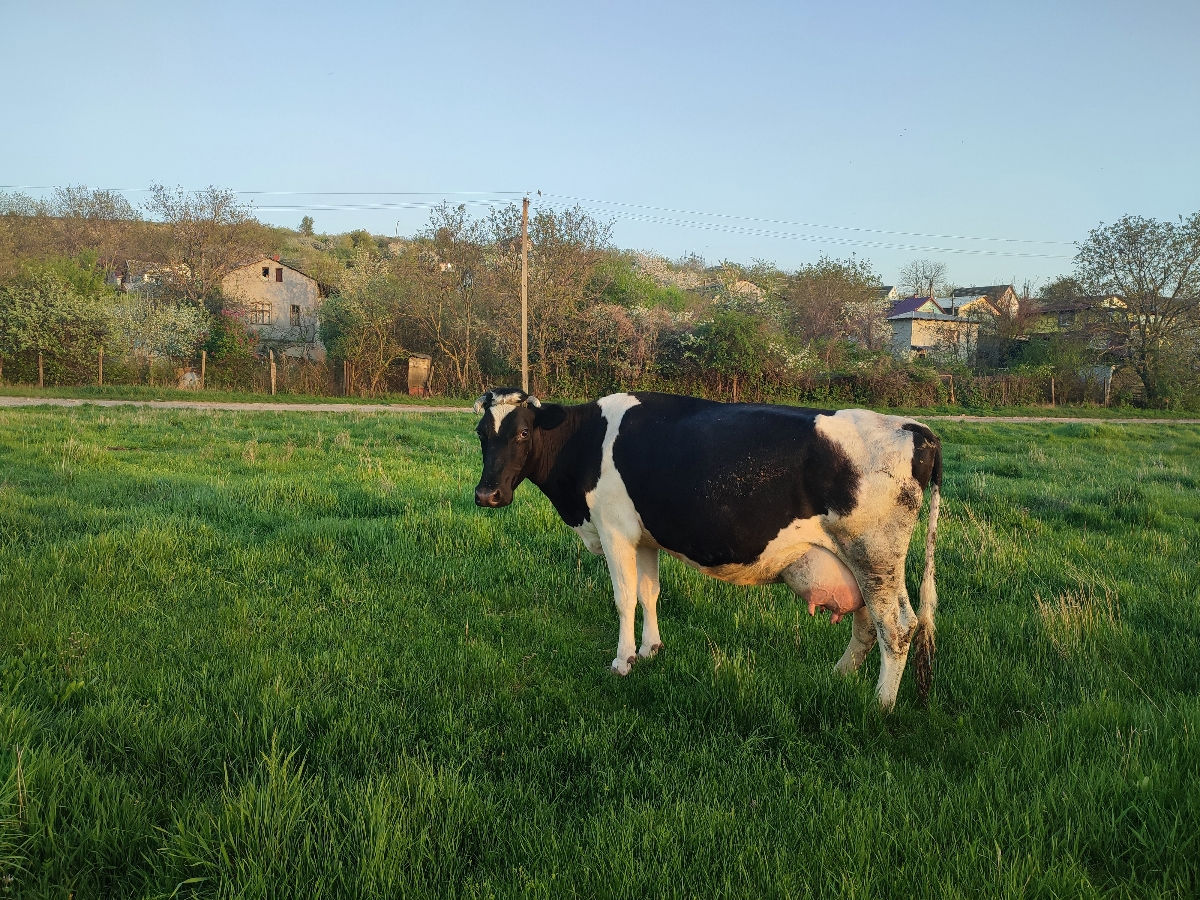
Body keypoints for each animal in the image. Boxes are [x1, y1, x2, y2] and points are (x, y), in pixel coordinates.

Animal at [472, 388, 940, 710]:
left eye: (523, 432)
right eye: (482, 434)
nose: (487, 494)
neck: (587, 442)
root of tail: (913, 428)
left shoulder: (614, 531)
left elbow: (624, 599)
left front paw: (623, 662)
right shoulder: (645, 537)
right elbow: (649, 593)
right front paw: (651, 650)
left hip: (874, 554)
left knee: (896, 626)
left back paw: (880, 704)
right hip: (858, 561)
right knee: (867, 624)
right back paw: (838, 678)